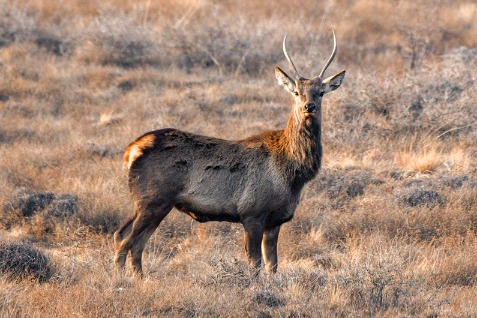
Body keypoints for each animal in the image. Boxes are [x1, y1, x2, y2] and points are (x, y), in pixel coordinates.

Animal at [113, 31, 344, 278]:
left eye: (320, 93)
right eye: (296, 92)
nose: (309, 106)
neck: (293, 174)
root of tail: (131, 151)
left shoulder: (276, 220)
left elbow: (272, 265)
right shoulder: (252, 212)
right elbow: (255, 264)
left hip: (149, 202)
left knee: (129, 238)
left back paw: (139, 278)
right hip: (154, 198)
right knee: (126, 239)